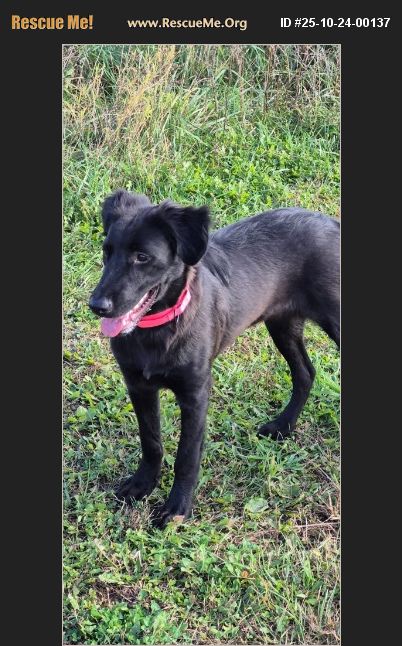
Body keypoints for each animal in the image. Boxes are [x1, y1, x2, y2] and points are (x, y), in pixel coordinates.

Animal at [89, 190, 340, 527]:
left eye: (142, 257)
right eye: (107, 251)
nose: (96, 306)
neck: (157, 328)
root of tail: (332, 223)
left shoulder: (195, 393)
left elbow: (187, 455)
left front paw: (177, 507)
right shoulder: (138, 386)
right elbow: (150, 442)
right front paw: (143, 484)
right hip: (282, 324)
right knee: (305, 373)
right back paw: (283, 425)